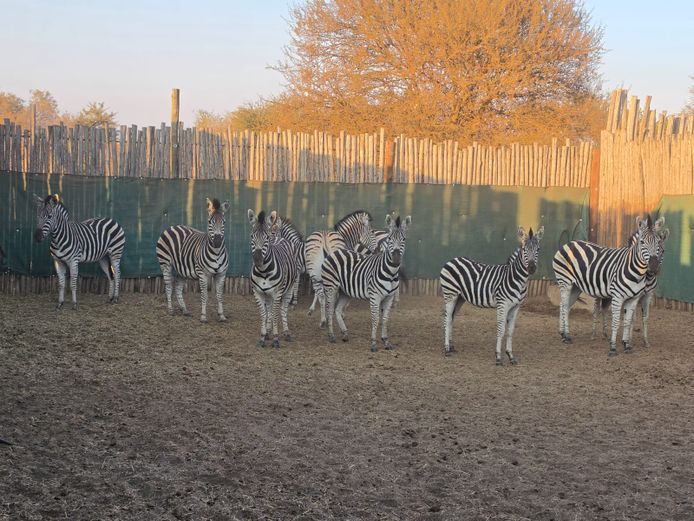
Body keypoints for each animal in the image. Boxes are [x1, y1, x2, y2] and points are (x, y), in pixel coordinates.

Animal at [248, 209, 300, 348]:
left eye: (266, 238)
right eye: (252, 237)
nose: (257, 260)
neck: (264, 271)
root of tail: (280, 238)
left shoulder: (277, 293)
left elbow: (276, 314)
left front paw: (276, 339)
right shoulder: (258, 293)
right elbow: (264, 314)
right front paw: (263, 337)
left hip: (288, 289)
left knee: (283, 310)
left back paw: (286, 333)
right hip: (268, 294)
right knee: (270, 311)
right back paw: (268, 332)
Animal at [321, 214, 411, 352]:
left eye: (404, 239)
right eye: (389, 239)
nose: (396, 259)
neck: (391, 273)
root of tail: (336, 251)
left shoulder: (389, 297)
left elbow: (385, 319)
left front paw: (386, 341)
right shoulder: (375, 296)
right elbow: (375, 319)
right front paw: (373, 344)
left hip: (345, 291)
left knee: (337, 309)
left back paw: (345, 334)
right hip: (330, 287)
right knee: (329, 309)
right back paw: (331, 336)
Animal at [440, 226, 544, 365]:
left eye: (538, 249)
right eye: (523, 249)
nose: (531, 268)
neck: (517, 279)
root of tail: (452, 260)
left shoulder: (516, 307)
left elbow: (510, 331)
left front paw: (511, 356)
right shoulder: (502, 304)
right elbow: (501, 330)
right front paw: (498, 357)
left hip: (460, 298)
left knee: (452, 318)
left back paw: (451, 346)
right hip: (450, 295)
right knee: (447, 319)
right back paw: (446, 349)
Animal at [553, 215, 664, 356]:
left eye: (659, 243)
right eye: (642, 242)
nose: (654, 266)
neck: (637, 273)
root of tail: (568, 243)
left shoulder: (634, 298)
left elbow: (627, 321)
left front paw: (626, 345)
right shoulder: (617, 297)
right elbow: (616, 322)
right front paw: (613, 348)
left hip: (575, 287)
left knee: (564, 306)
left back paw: (562, 334)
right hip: (565, 282)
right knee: (564, 305)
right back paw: (567, 336)